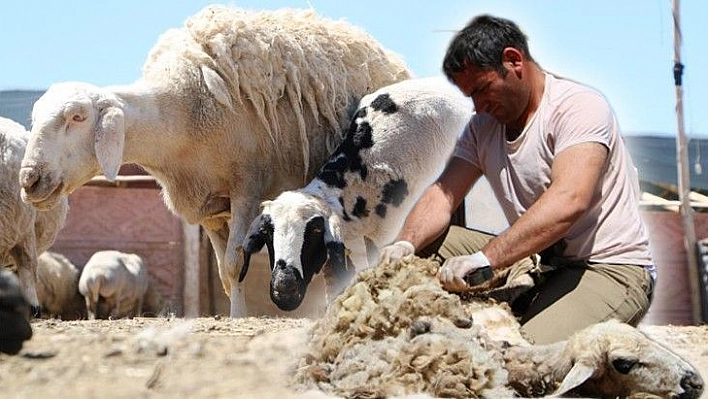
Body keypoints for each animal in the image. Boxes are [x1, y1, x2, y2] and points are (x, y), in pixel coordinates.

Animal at [18, 3, 410, 318]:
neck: (181, 113)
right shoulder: (208, 208)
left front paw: (238, 316)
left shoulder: (247, 189)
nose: (28, 179)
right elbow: (224, 271)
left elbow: (237, 263)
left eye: (77, 117)